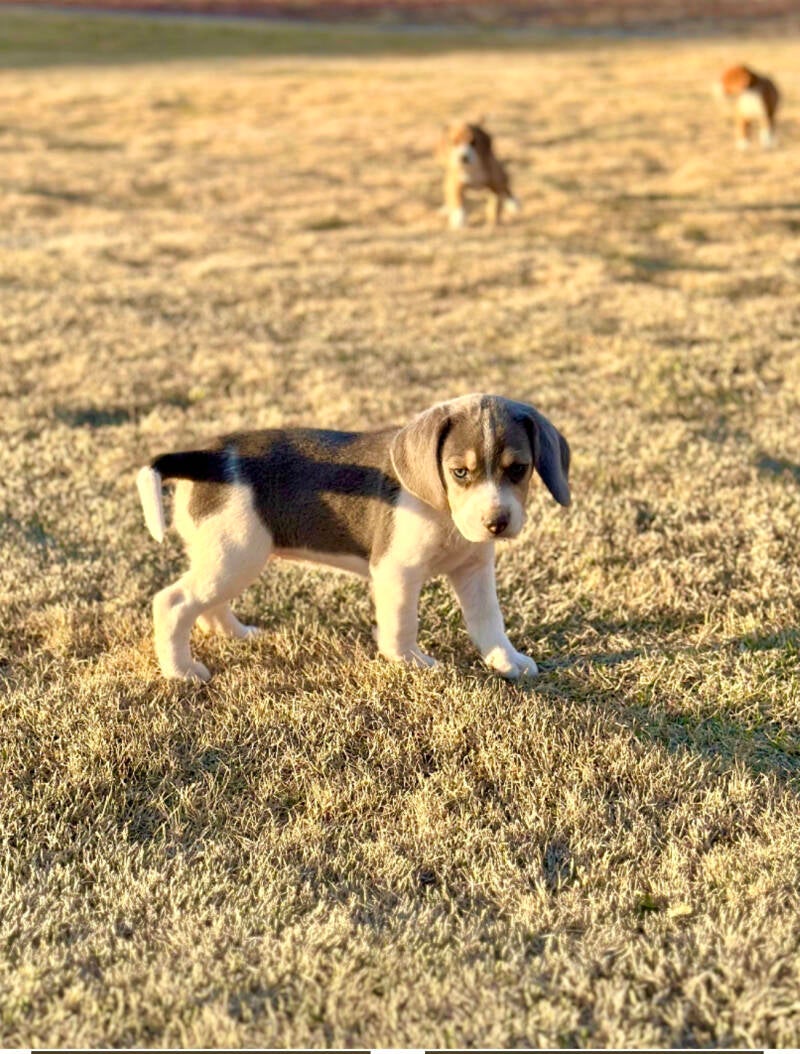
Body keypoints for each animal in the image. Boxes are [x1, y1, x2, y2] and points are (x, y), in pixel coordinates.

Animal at [136, 395, 570, 683]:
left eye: (518, 469)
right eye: (460, 472)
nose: (497, 522)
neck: (443, 513)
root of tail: (208, 457)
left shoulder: (474, 570)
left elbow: (489, 622)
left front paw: (506, 661)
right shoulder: (397, 572)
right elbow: (401, 625)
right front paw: (409, 661)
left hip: (225, 558)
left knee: (207, 606)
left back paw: (234, 634)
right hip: (236, 555)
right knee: (172, 603)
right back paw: (182, 671)